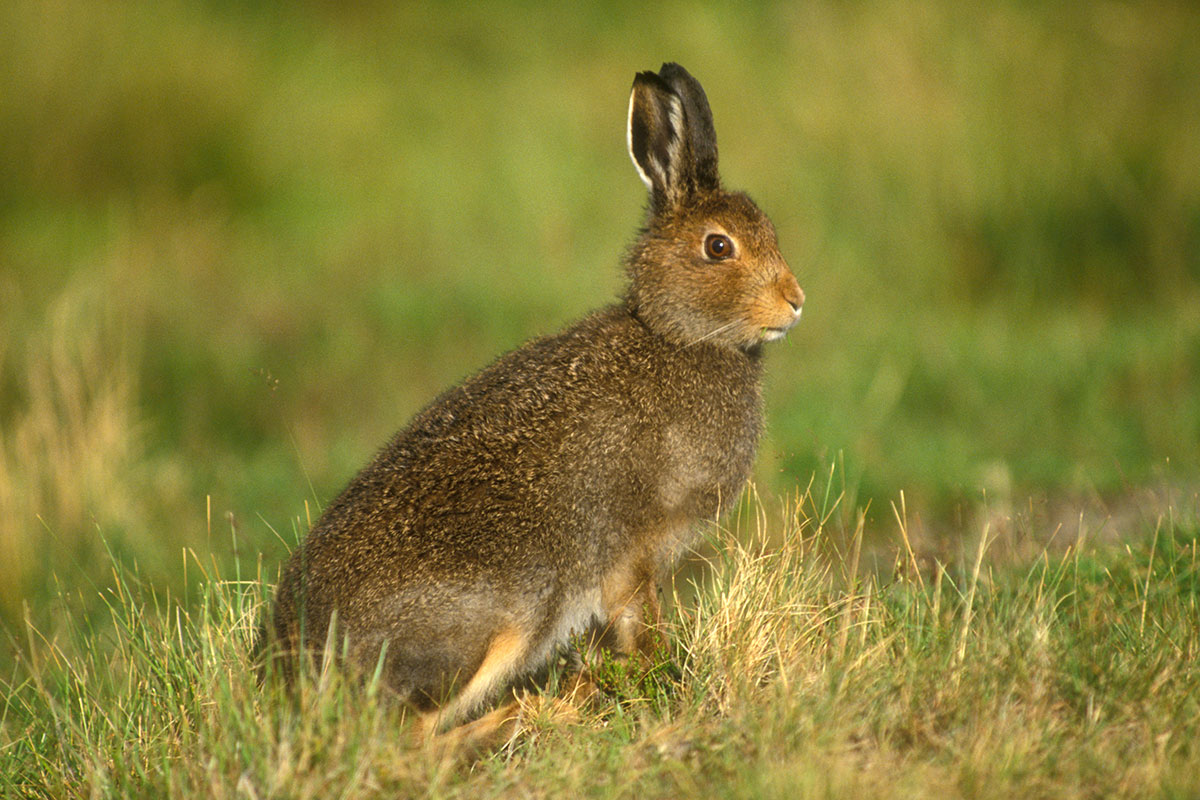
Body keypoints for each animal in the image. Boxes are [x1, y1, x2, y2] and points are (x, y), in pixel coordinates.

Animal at [261, 62, 804, 734]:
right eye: (719, 247)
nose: (795, 301)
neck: (675, 335)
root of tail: (299, 666)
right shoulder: (630, 550)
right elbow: (640, 621)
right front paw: (657, 674)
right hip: (503, 616)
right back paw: (536, 714)